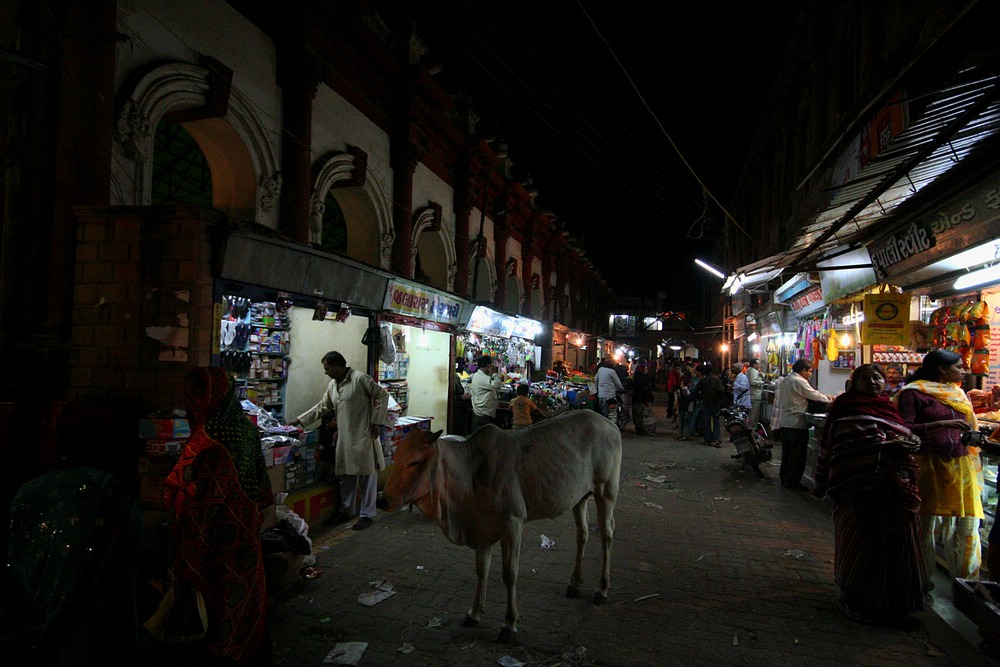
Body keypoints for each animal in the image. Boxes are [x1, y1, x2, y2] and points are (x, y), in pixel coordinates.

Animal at [378, 409, 622, 642]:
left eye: (415, 461)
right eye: (397, 456)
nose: (383, 500)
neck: (471, 472)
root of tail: (609, 424)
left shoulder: (512, 523)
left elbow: (509, 573)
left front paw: (510, 624)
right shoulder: (481, 528)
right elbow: (481, 570)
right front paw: (474, 613)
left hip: (606, 491)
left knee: (607, 535)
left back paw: (602, 589)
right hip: (579, 498)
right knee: (582, 535)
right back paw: (575, 584)